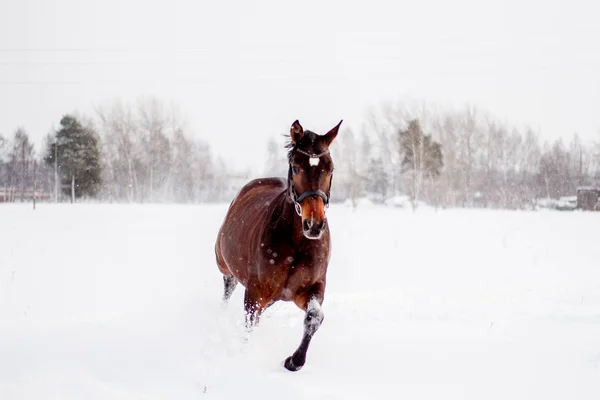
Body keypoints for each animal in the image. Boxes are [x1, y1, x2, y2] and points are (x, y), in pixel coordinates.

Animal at [216, 119, 340, 372]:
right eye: (296, 167)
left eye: (330, 168)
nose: (314, 224)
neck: (297, 243)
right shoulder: (255, 293)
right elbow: (249, 325)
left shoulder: (312, 288)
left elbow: (314, 317)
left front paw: (293, 361)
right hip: (225, 266)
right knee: (227, 288)